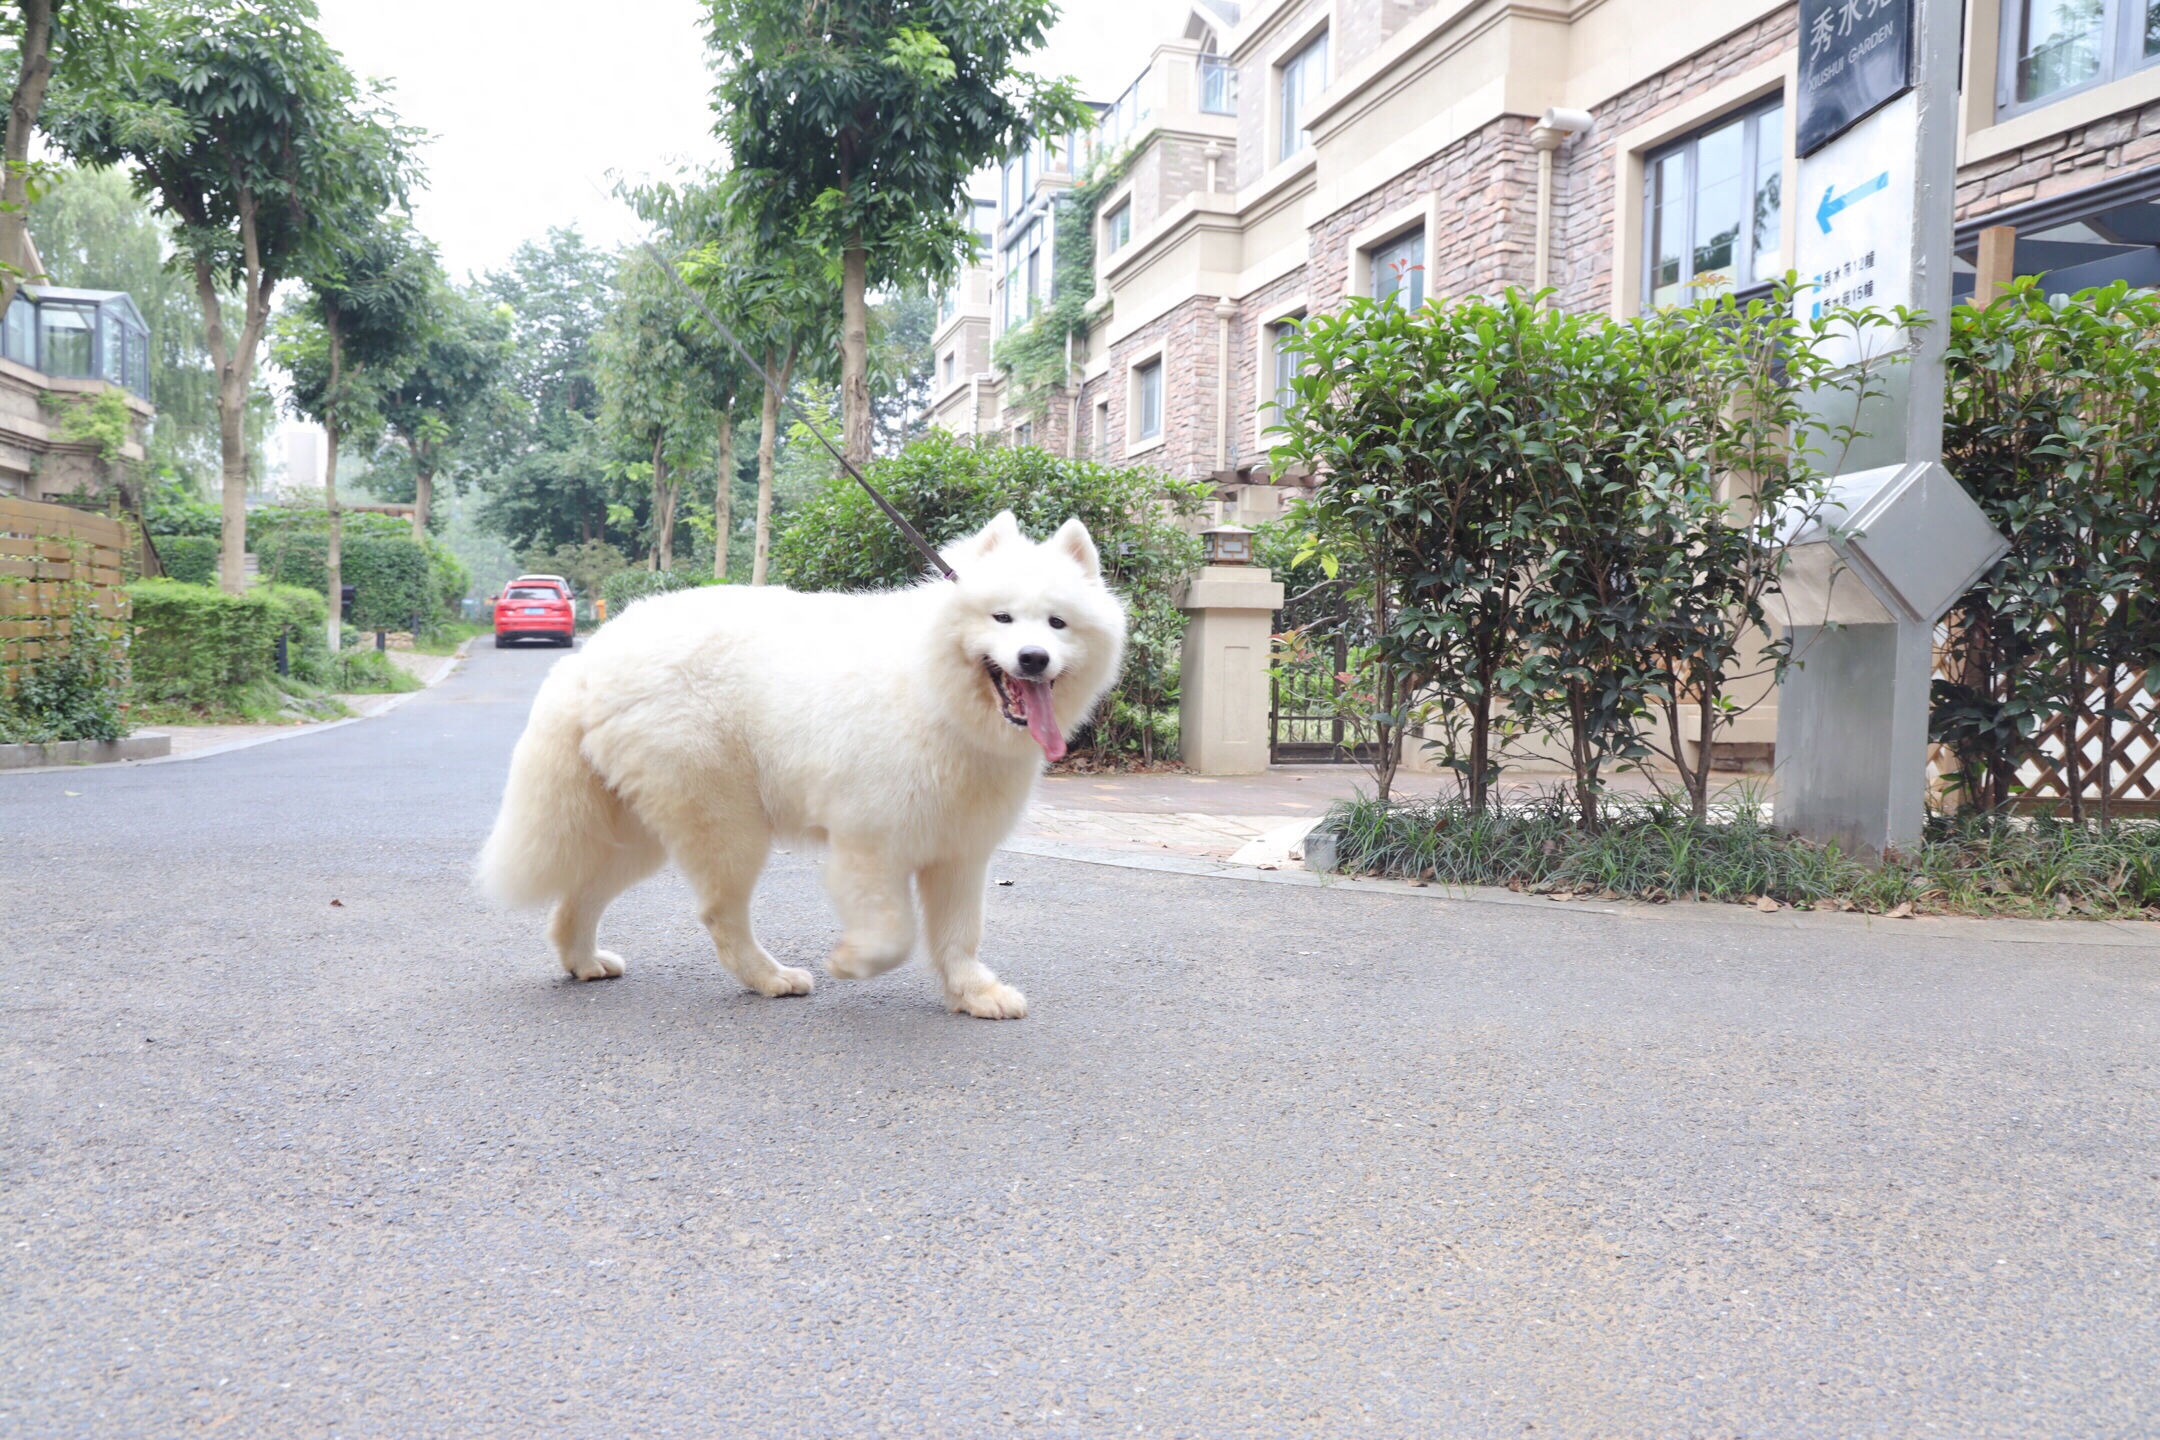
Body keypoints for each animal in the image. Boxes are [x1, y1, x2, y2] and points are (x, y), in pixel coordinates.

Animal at [477, 511, 1131, 1019]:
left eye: (1057, 623)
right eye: (1001, 619)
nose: (1033, 658)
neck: (933, 693)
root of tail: (589, 657)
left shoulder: (959, 851)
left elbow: (959, 934)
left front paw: (972, 994)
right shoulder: (869, 842)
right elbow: (895, 933)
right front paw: (854, 961)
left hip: (643, 834)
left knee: (580, 896)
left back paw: (583, 961)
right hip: (728, 822)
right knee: (719, 913)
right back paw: (770, 978)